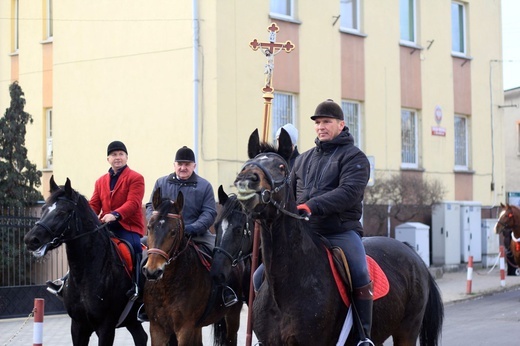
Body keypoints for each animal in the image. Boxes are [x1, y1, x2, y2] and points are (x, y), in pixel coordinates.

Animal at [24, 178, 148, 346]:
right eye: (43, 209)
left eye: (62, 212)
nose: (31, 240)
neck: (85, 274)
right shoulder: (78, 326)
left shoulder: (106, 328)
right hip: (132, 321)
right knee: (141, 337)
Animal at [141, 189, 245, 346]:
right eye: (149, 227)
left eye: (173, 231)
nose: (153, 272)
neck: (167, 286)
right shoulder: (157, 328)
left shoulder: (185, 329)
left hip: (232, 316)